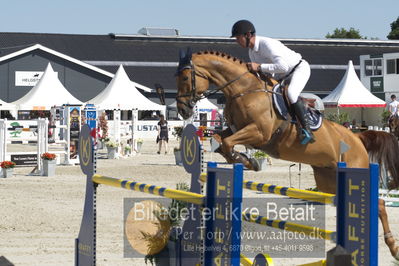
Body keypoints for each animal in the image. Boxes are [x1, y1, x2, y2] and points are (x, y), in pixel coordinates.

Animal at [176, 48, 399, 260]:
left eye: (185, 78)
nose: (183, 111)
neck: (243, 90)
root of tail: (358, 138)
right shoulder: (233, 129)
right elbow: (220, 142)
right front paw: (247, 161)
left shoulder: (259, 132)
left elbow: (228, 143)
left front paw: (247, 161)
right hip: (329, 180)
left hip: (353, 169)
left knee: (378, 204)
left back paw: (393, 247)